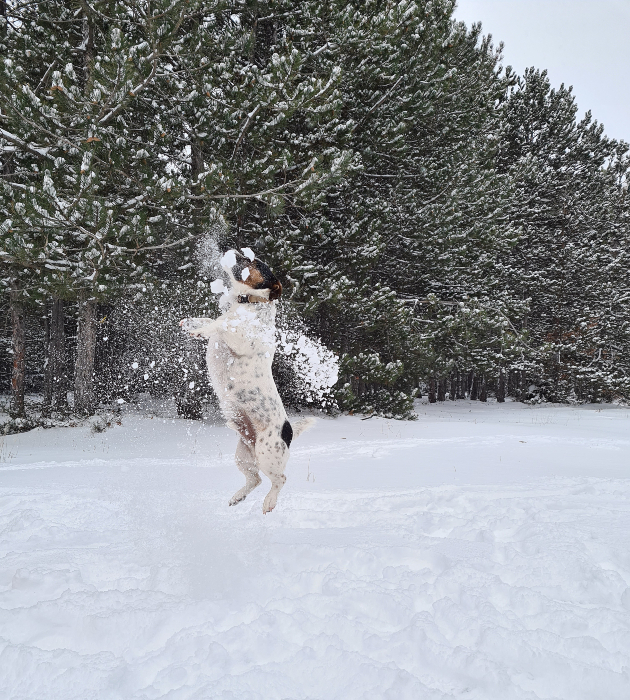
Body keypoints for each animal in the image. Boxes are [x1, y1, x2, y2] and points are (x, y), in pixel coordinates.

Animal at [180, 249, 314, 512]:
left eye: (255, 263)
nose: (236, 250)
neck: (248, 303)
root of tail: (289, 431)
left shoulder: (241, 339)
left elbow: (221, 324)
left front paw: (202, 329)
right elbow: (212, 319)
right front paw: (192, 323)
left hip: (266, 452)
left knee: (280, 479)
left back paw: (269, 502)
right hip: (243, 456)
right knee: (255, 479)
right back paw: (238, 496)